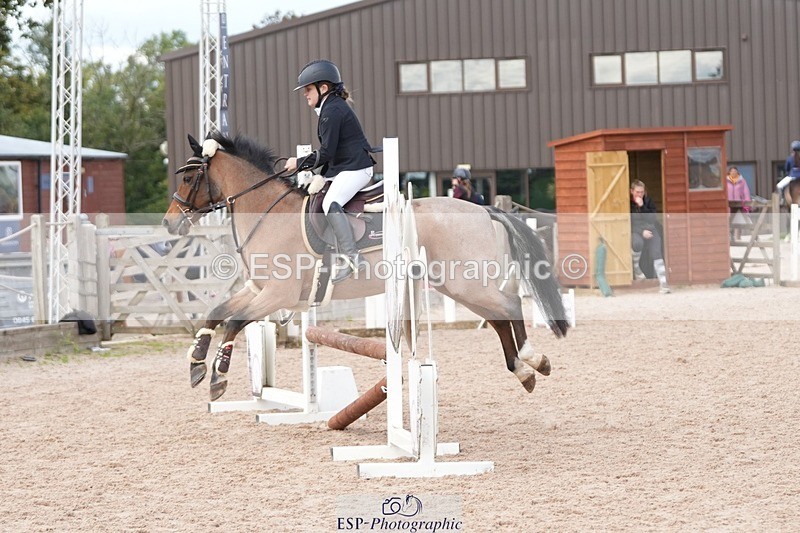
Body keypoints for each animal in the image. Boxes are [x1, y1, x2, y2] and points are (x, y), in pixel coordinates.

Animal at [162, 132, 569, 401]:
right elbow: (217, 311)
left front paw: (217, 376)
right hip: (457, 285)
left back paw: (532, 359)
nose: (169, 224)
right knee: (500, 316)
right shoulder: (258, 290)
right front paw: (196, 363)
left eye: (189, 177)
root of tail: (484, 210)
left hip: (465, 283)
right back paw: (525, 371)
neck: (268, 213)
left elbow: (234, 321)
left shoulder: (277, 295)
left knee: (510, 305)